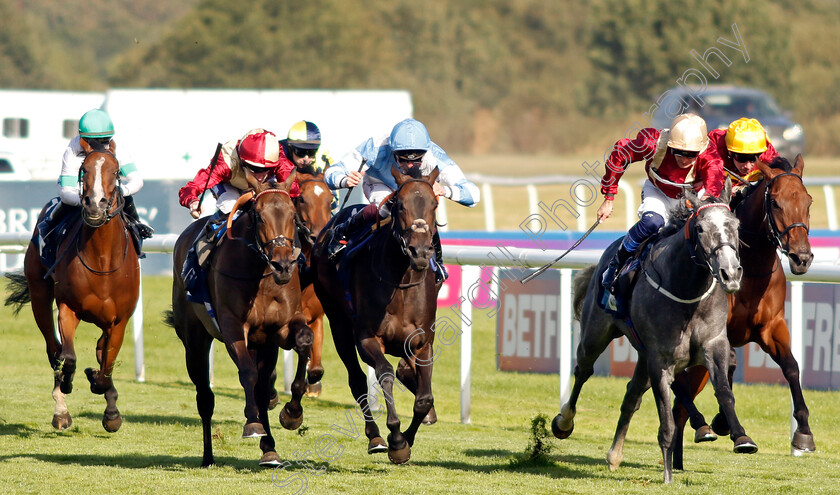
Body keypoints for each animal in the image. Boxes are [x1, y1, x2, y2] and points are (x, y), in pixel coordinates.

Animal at [4, 138, 139, 432]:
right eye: (83, 169)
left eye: (116, 170)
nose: (95, 206)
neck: (101, 260)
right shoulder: (68, 308)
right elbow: (69, 358)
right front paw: (69, 385)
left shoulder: (120, 320)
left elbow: (106, 365)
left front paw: (111, 411)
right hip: (40, 296)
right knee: (53, 349)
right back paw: (61, 409)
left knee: (97, 350)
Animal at [169, 171, 314, 468]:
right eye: (259, 215)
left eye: (293, 214)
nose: (283, 265)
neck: (260, 277)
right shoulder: (233, 326)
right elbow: (246, 372)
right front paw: (252, 424)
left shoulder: (281, 328)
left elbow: (305, 341)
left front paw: (292, 413)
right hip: (194, 340)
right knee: (205, 396)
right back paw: (208, 456)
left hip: (264, 345)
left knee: (262, 388)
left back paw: (269, 449)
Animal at [314, 166, 442, 464]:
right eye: (400, 204)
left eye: (435, 204)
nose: (420, 252)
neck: (401, 282)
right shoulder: (367, 338)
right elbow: (383, 374)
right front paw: (396, 440)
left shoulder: (423, 343)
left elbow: (424, 399)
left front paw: (409, 437)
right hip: (338, 323)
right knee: (357, 380)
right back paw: (374, 436)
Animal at [552, 183, 756, 484]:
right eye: (700, 228)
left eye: (736, 225)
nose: (730, 273)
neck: (687, 292)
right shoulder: (660, 360)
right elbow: (667, 423)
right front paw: (668, 475)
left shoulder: (713, 344)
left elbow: (724, 391)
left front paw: (741, 437)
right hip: (596, 334)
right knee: (583, 371)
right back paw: (564, 421)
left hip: (642, 356)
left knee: (631, 396)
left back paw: (615, 455)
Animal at [672, 156, 816, 468]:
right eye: (775, 202)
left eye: (808, 200)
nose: (801, 257)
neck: (751, 268)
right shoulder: (719, 332)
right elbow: (729, 367)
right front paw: (724, 422)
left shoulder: (772, 327)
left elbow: (791, 367)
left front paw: (804, 433)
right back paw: (700, 427)